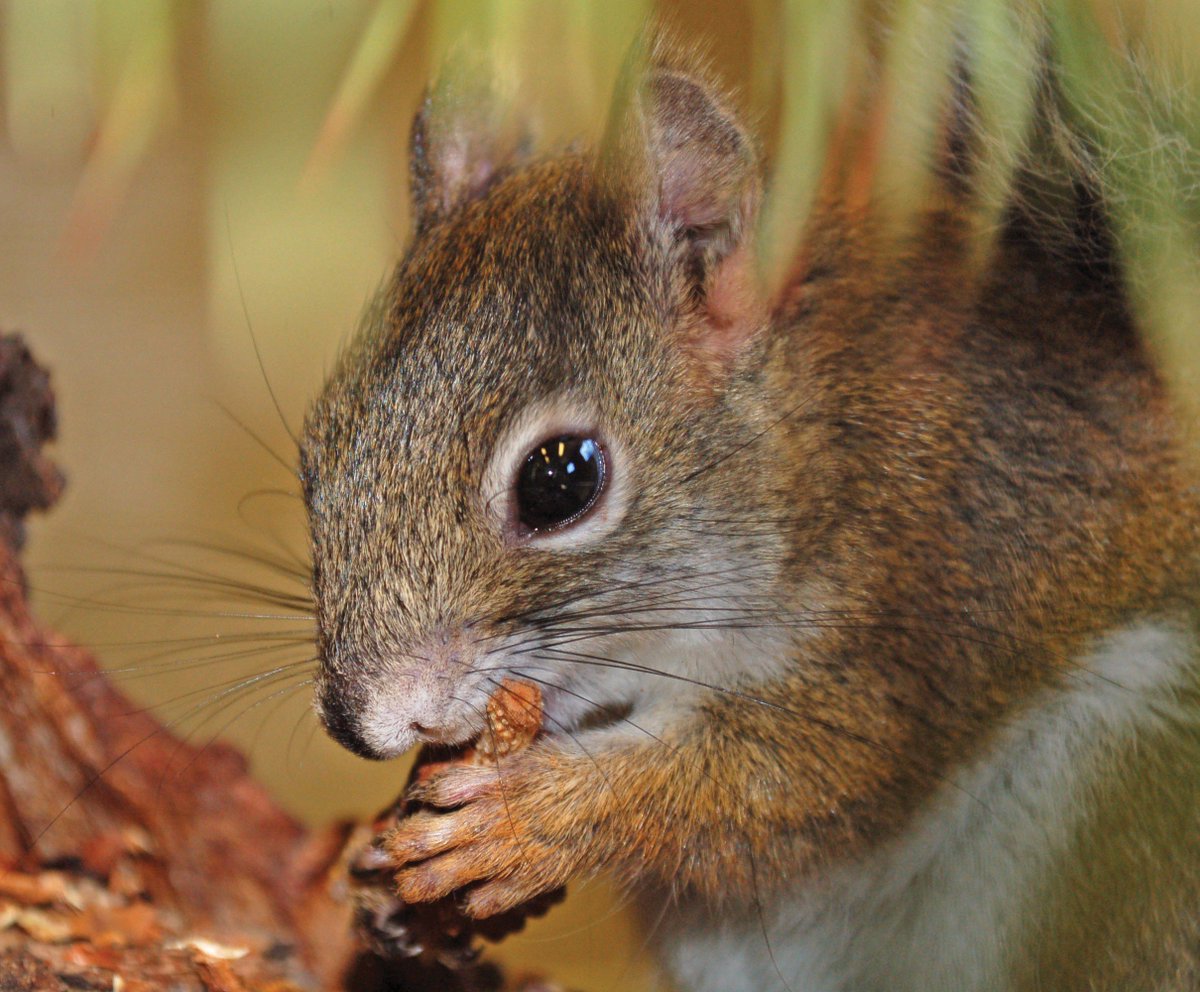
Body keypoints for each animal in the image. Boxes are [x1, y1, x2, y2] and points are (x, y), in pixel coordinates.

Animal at [300, 25, 1200, 992]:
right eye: (317, 449)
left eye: (559, 480)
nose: (362, 721)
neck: (818, 444)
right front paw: (370, 859)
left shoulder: (921, 601)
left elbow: (791, 778)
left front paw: (532, 821)